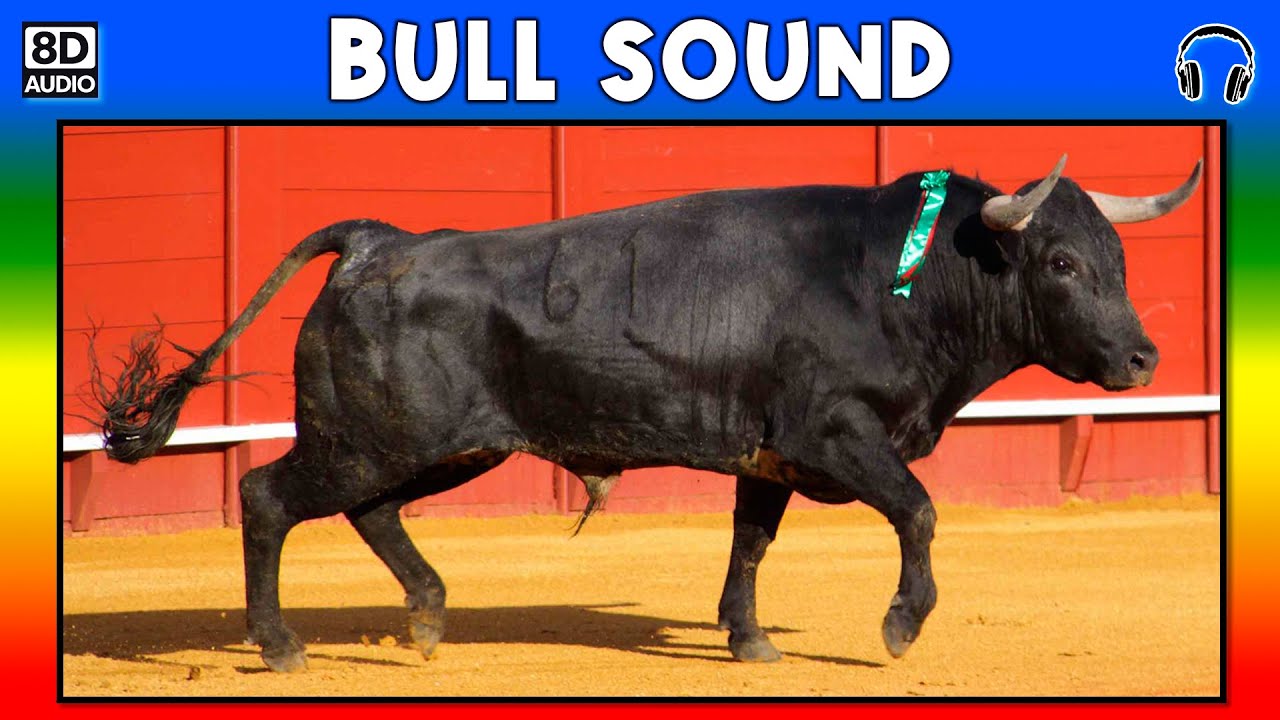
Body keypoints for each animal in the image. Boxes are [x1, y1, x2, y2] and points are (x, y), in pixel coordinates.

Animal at [91, 154, 1202, 673]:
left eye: (1114, 257)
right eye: (1060, 264)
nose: (1143, 358)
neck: (900, 279)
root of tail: (380, 238)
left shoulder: (770, 456)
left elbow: (749, 545)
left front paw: (748, 642)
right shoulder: (836, 434)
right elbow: (920, 510)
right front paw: (897, 626)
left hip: (434, 447)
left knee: (368, 511)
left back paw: (429, 618)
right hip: (365, 439)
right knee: (268, 496)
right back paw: (281, 645)